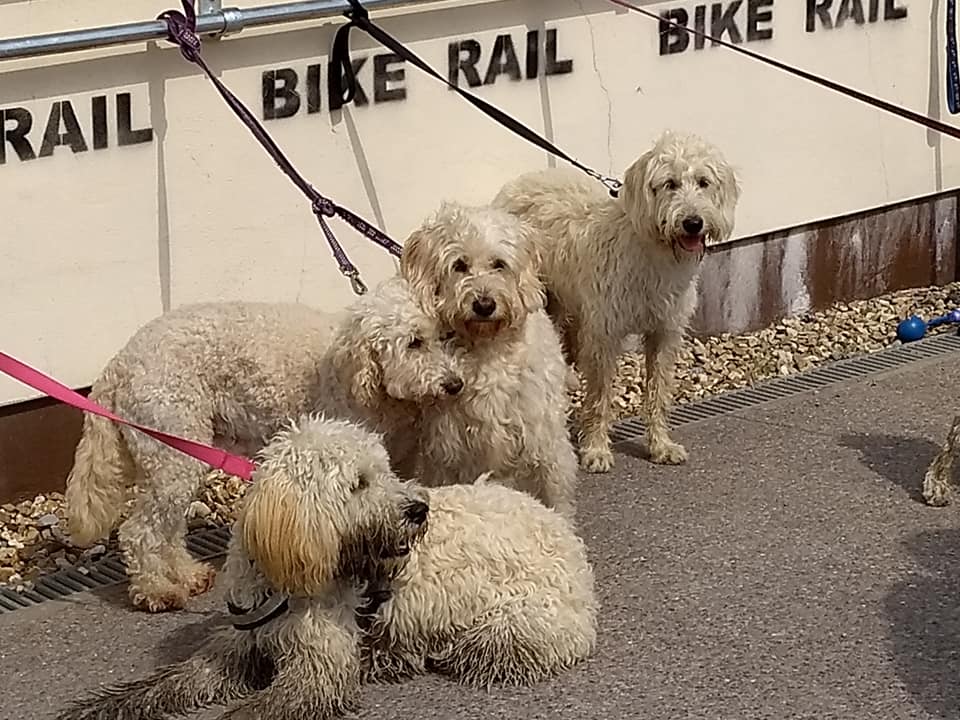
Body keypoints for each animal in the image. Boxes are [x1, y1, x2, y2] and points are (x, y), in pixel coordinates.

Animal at [56, 416, 596, 720]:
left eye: (387, 471)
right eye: (360, 483)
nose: (419, 509)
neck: (281, 582)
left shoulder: (316, 669)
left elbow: (256, 711)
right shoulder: (234, 647)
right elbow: (170, 682)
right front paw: (100, 708)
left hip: (510, 627)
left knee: (481, 650)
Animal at [63, 280, 462, 612]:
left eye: (445, 336)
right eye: (414, 342)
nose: (455, 384)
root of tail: (118, 364)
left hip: (177, 456)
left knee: (169, 529)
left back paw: (186, 575)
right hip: (171, 450)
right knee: (140, 531)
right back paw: (156, 590)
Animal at [402, 200, 580, 520]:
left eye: (499, 264)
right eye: (459, 265)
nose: (484, 305)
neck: (488, 350)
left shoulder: (544, 442)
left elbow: (555, 496)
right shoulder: (450, 451)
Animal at [492, 129, 740, 472]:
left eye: (703, 182)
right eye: (670, 183)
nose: (693, 223)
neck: (652, 251)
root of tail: (517, 183)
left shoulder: (664, 333)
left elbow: (658, 393)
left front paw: (661, 445)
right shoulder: (604, 335)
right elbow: (599, 396)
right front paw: (596, 449)